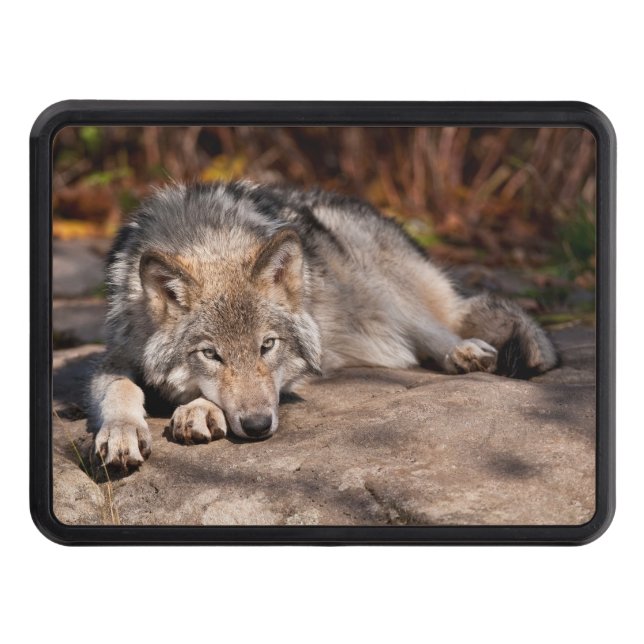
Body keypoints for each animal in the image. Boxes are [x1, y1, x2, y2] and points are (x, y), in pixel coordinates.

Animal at [89, 181, 557, 469]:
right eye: (210, 354)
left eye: (267, 346)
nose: (258, 427)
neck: (208, 238)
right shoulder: (114, 354)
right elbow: (120, 388)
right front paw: (122, 431)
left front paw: (198, 410)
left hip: (380, 290)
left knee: (438, 326)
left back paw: (464, 351)